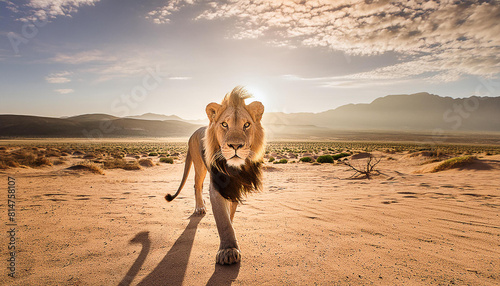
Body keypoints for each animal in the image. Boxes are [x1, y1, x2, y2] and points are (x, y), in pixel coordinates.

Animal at [165, 86, 266, 264]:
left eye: (246, 125)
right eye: (224, 124)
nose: (235, 146)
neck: (233, 169)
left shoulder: (235, 188)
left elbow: (230, 212)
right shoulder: (217, 186)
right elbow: (223, 220)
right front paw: (228, 250)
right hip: (199, 165)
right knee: (197, 185)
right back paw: (199, 207)